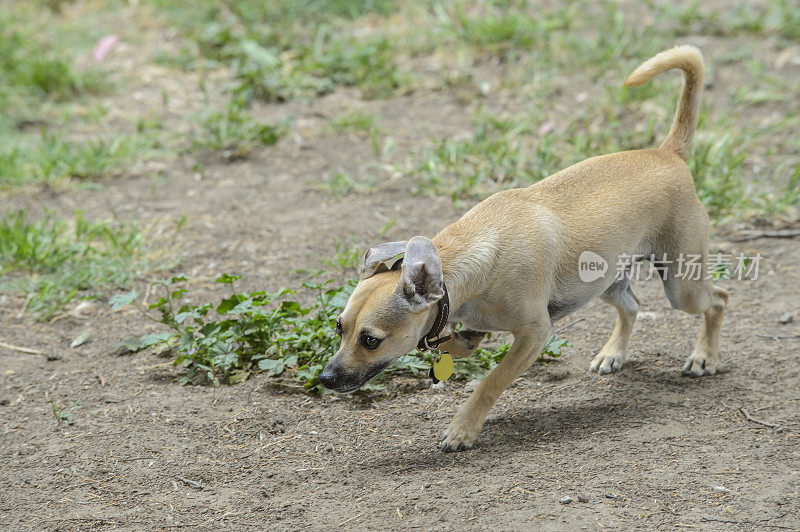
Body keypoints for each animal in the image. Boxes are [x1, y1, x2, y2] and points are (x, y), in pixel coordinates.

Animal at [318, 46, 724, 454]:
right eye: (339, 328)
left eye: (370, 340)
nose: (325, 377)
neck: (476, 262)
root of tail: (668, 154)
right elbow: (462, 344)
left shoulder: (534, 335)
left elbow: (491, 381)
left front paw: (462, 428)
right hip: (603, 281)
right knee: (632, 305)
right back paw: (613, 353)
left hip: (681, 285)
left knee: (718, 298)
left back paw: (704, 356)